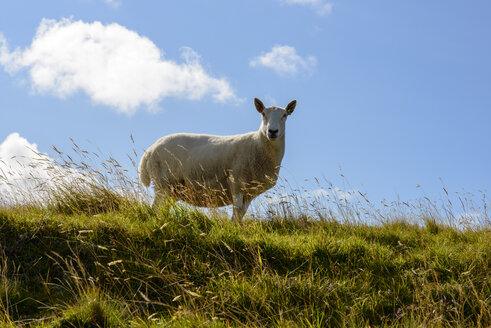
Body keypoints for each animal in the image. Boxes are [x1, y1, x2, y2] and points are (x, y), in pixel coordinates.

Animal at [140, 96, 298, 220]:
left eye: (285, 115)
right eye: (263, 114)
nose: (272, 131)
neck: (257, 144)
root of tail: (149, 151)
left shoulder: (250, 191)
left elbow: (241, 212)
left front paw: (238, 228)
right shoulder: (237, 181)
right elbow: (237, 210)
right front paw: (233, 228)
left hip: (172, 189)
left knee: (161, 208)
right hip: (164, 182)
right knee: (155, 208)